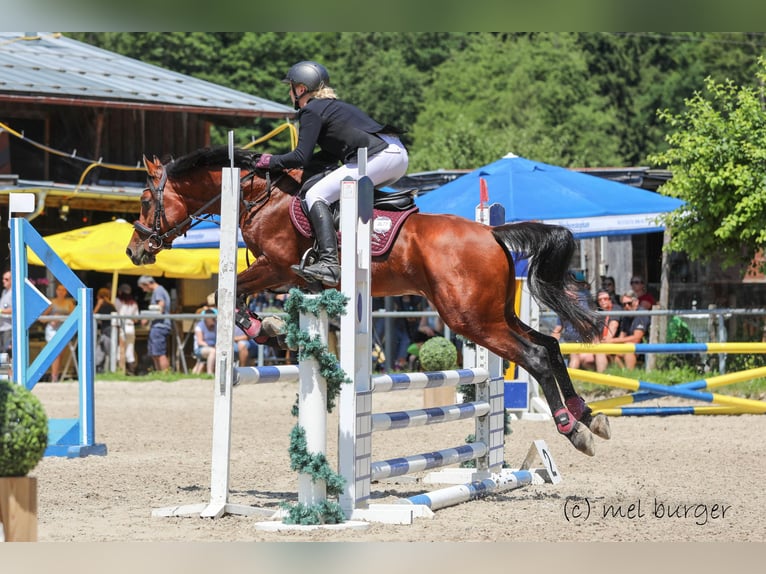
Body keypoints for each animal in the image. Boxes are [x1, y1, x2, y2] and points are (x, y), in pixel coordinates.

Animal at [129, 148, 616, 460]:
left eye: (144, 199)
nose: (135, 251)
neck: (261, 197)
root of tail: (491, 232)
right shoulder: (284, 274)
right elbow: (234, 294)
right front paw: (270, 330)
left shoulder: (279, 267)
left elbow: (227, 292)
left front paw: (262, 329)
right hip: (495, 314)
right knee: (550, 345)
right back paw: (589, 416)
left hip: (470, 319)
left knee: (535, 355)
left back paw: (573, 430)